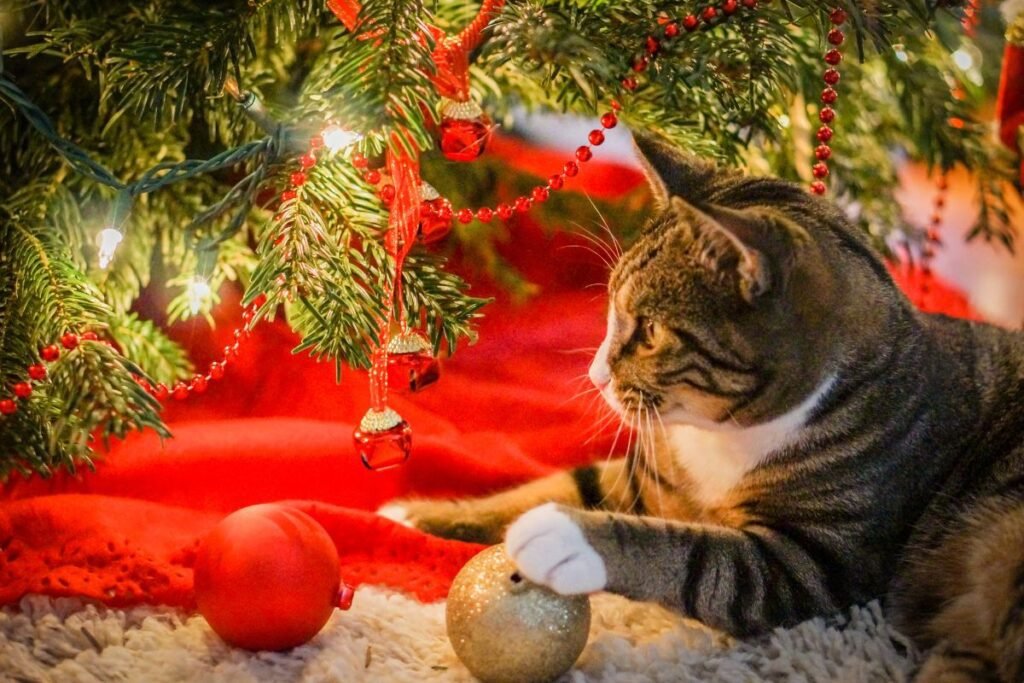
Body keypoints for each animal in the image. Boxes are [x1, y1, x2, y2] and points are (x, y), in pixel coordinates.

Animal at [385, 132, 1024, 679]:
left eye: (648, 331)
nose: (595, 376)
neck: (724, 438)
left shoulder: (814, 563)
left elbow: (696, 556)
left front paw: (566, 538)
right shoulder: (649, 478)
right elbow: (553, 485)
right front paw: (416, 515)